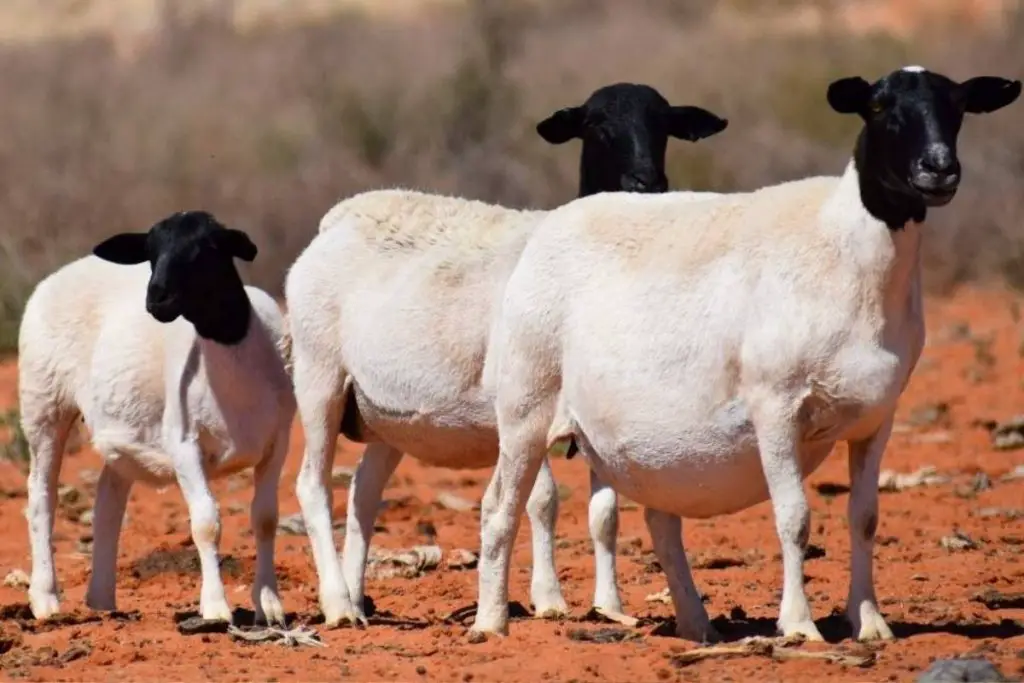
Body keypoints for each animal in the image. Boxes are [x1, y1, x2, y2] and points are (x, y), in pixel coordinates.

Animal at [18, 211, 296, 626]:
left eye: (208, 247)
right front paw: (215, 608)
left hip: (117, 426)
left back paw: (102, 598)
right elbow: (206, 523)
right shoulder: (183, 444)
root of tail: (62, 273)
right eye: (151, 251)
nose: (157, 297)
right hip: (42, 403)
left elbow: (264, 518)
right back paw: (46, 599)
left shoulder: (278, 441)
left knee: (108, 501)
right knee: (42, 497)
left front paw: (269, 604)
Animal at [282, 81, 729, 626]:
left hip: (384, 413)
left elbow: (603, 514)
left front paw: (608, 605)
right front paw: (550, 599)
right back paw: (338, 605)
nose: (647, 182)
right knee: (313, 486)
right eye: (597, 126)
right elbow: (544, 500)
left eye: (664, 126)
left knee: (362, 493)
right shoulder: (523, 401)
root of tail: (336, 220)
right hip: (319, 374)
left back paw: (356, 594)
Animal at [475, 62, 1019, 643]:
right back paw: (491, 622)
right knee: (500, 508)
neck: (846, 255)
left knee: (659, 521)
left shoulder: (878, 418)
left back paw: (696, 624)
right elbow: (794, 517)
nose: (938, 169)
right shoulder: (774, 405)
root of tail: (554, 224)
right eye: (878, 106)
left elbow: (865, 517)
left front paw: (870, 622)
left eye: (958, 107)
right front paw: (799, 625)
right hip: (526, 408)